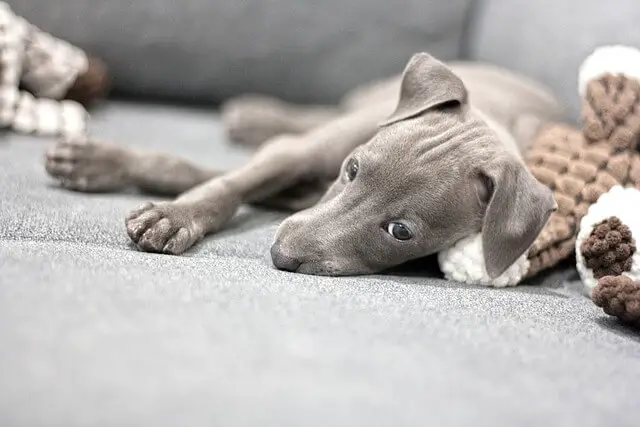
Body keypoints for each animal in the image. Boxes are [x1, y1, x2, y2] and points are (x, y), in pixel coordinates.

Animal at [46, 52, 564, 278]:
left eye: (401, 232)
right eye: (352, 169)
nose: (280, 255)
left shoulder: (299, 196)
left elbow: (204, 177)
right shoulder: (296, 156)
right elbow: (222, 182)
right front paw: (170, 213)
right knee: (310, 117)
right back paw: (254, 114)